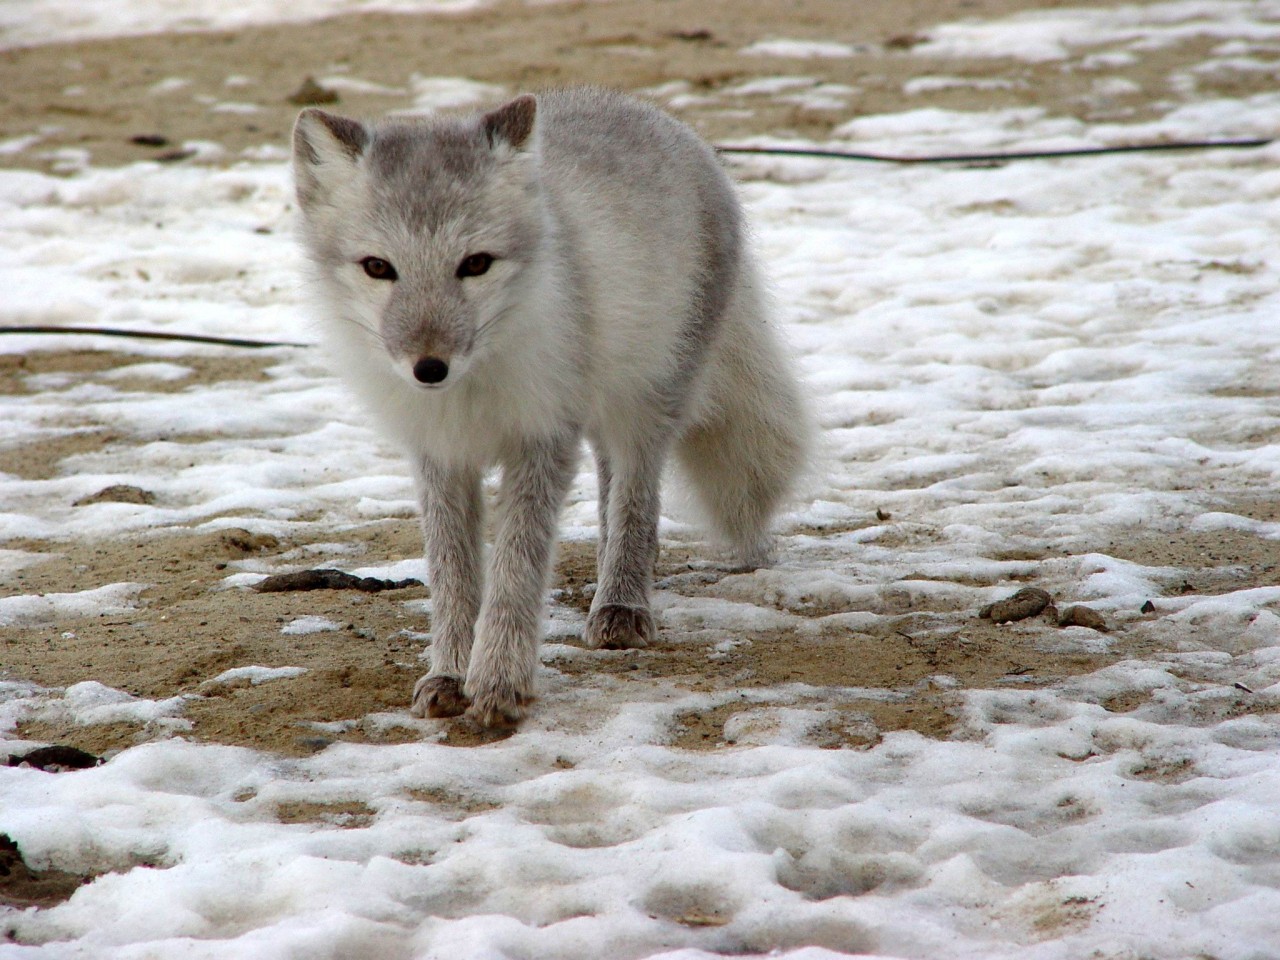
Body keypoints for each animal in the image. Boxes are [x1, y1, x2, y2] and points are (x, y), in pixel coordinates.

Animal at [294, 86, 803, 727]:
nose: (429, 368)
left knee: (636, 495)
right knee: (611, 487)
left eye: (476, 263)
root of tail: (654, 115)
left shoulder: (543, 439)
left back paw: (621, 602)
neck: (471, 390)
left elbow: (516, 567)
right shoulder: (440, 454)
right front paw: (448, 674)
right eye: (378, 267)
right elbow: (453, 575)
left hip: (648, 400)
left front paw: (499, 682)